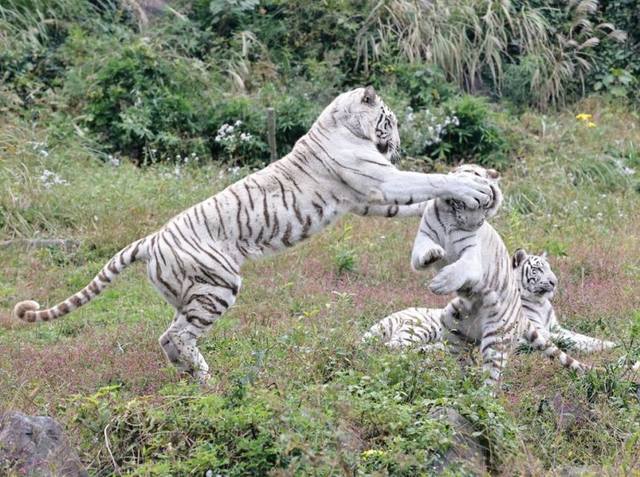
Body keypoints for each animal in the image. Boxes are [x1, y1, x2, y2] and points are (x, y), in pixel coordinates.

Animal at [12, 86, 495, 384]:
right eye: (388, 120)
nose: (396, 144)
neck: (339, 124)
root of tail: (151, 239)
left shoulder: (371, 198)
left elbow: (417, 198)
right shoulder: (379, 182)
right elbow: (426, 180)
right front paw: (470, 188)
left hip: (188, 294)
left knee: (169, 335)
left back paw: (189, 376)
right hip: (218, 286)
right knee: (177, 335)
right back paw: (206, 378)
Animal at [364, 250, 617, 355]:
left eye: (549, 267)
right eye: (537, 269)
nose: (554, 282)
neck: (541, 303)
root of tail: (394, 314)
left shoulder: (554, 326)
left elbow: (579, 336)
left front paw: (609, 343)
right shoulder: (537, 330)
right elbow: (568, 341)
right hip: (420, 329)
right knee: (392, 346)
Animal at [408, 164, 592, 386]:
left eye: (488, 207)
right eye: (476, 201)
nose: (475, 224)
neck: (451, 217)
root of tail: (520, 315)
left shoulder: (472, 256)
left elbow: (462, 268)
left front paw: (441, 282)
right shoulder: (424, 236)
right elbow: (423, 253)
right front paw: (434, 255)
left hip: (496, 337)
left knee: (491, 375)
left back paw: (479, 392)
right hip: (450, 320)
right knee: (463, 355)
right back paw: (464, 379)